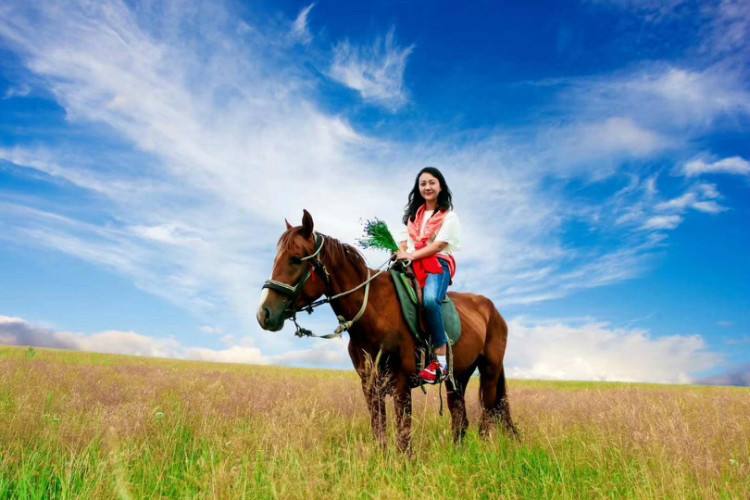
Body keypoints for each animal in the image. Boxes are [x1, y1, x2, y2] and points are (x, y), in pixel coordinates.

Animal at [258, 209, 516, 452]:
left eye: (295, 259)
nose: (264, 314)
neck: (374, 309)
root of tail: (492, 310)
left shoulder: (401, 383)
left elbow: (403, 437)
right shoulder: (370, 385)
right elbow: (379, 432)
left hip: (490, 371)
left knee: (487, 417)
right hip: (458, 377)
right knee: (460, 420)